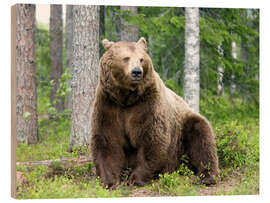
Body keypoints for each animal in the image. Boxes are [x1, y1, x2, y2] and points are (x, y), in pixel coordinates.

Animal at [90, 37, 219, 188]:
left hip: (183, 129)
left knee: (202, 138)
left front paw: (135, 179)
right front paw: (109, 181)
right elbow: (107, 140)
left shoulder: (147, 104)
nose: (136, 72)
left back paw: (207, 176)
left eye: (141, 59)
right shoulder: (109, 104)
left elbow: (152, 138)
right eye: (126, 58)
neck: (126, 97)